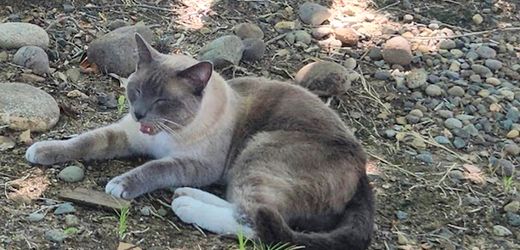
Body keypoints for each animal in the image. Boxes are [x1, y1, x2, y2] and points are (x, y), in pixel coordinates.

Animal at [26, 33, 374, 250]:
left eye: (162, 100)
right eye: (136, 91)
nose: (139, 113)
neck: (164, 133)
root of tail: (363, 169)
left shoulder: (197, 165)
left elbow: (154, 169)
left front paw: (120, 185)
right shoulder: (126, 134)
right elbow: (85, 141)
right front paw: (41, 150)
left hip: (258, 151)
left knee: (257, 221)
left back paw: (186, 204)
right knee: (246, 208)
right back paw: (186, 195)